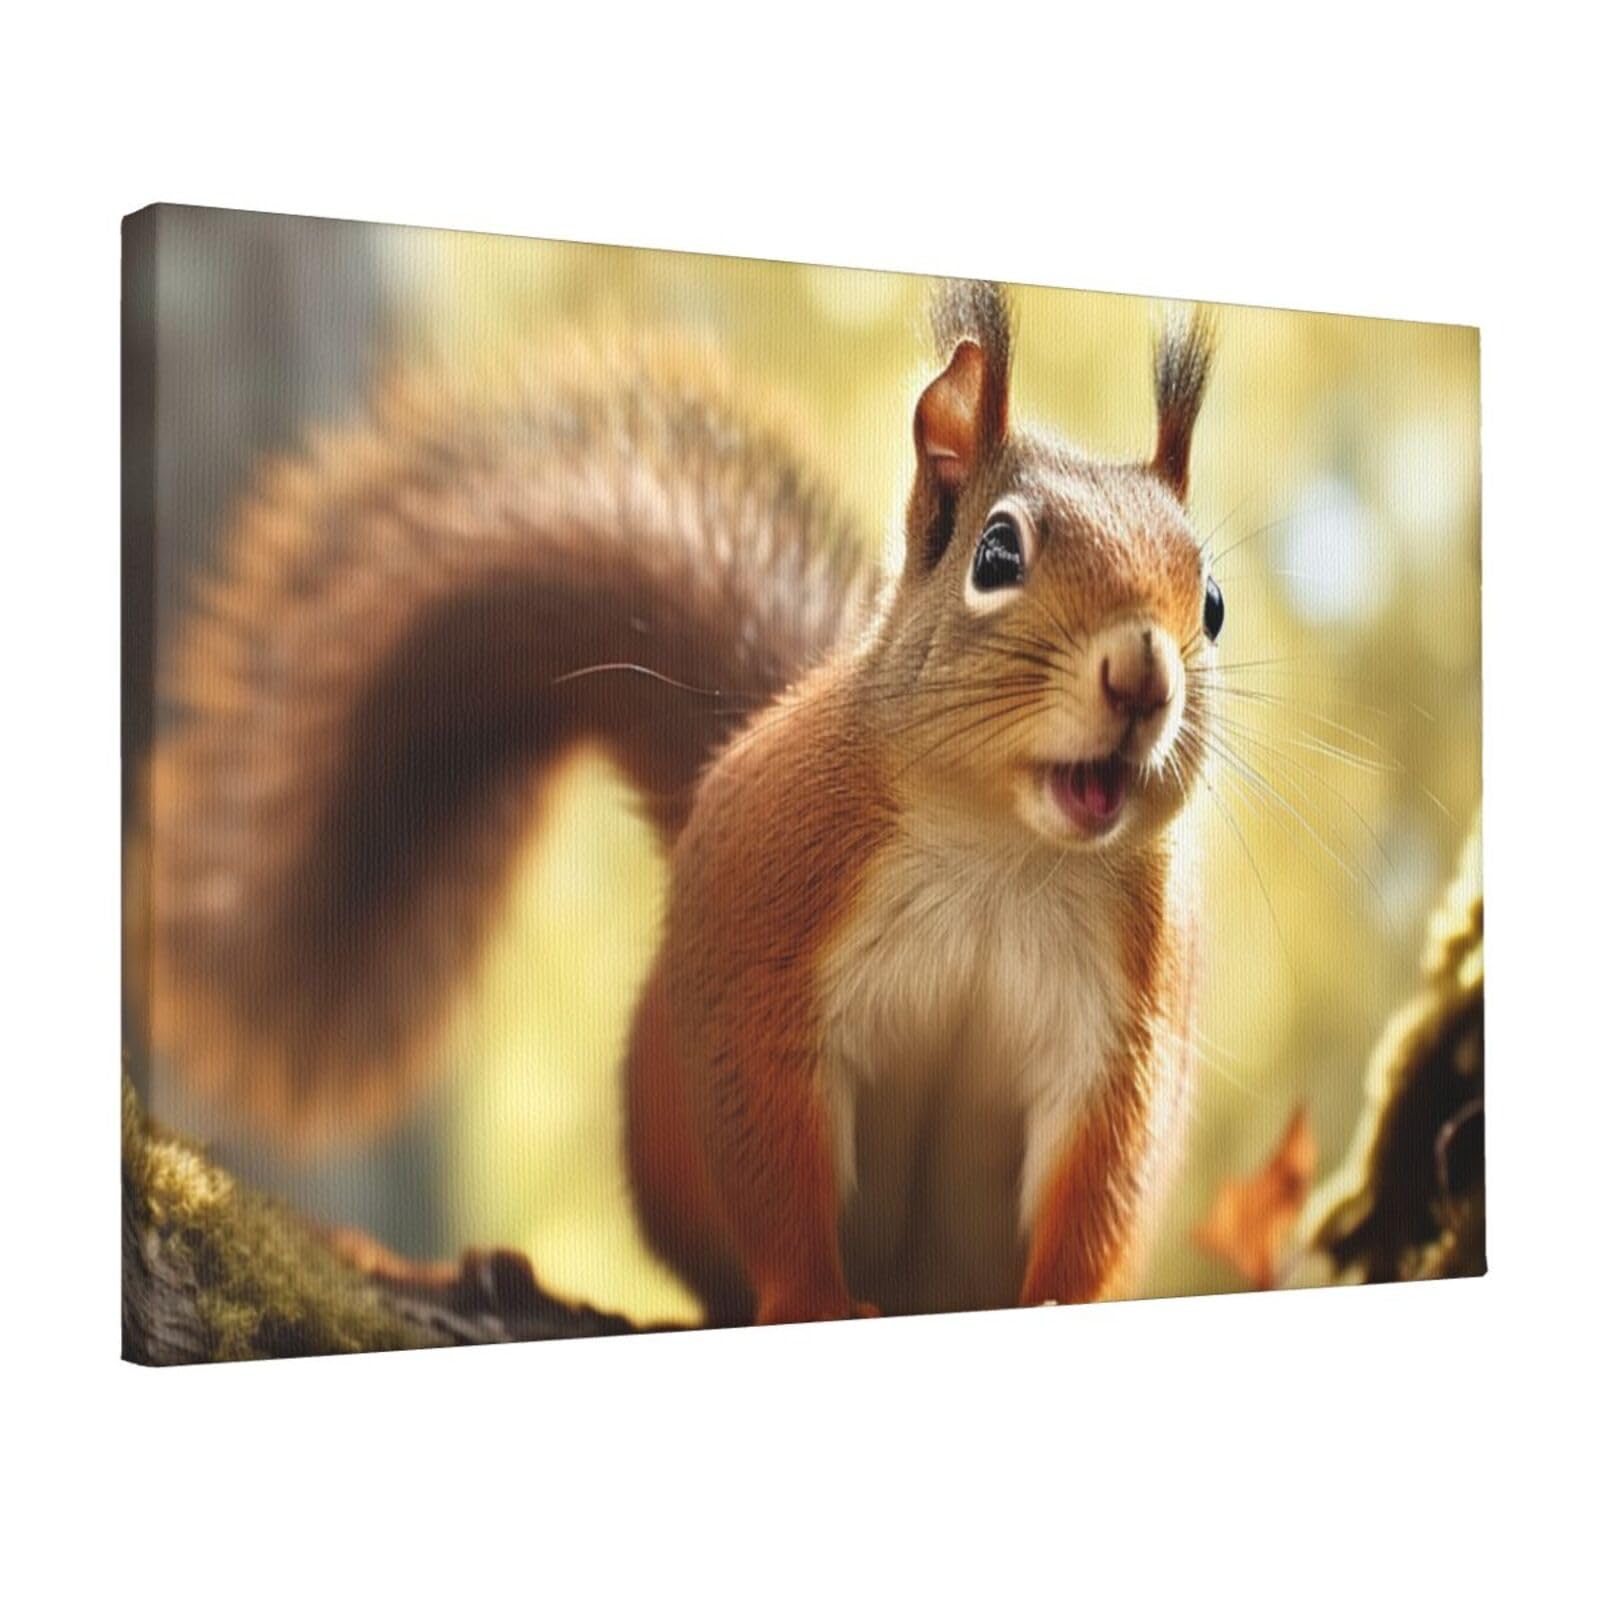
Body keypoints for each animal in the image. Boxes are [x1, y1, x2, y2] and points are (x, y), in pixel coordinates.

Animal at [144, 279, 1222, 1326]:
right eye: (998, 554)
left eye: (1210, 602)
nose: (1141, 676)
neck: (998, 849)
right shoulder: (772, 915)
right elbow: (769, 1135)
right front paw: (811, 1300)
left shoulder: (1125, 1013)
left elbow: (1101, 1176)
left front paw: (1062, 1298)